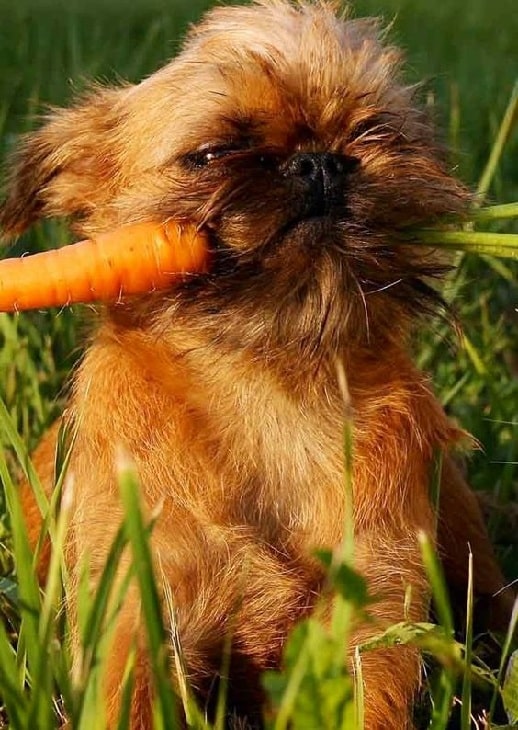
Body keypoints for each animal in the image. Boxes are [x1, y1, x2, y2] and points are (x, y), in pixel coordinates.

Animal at [0, 1, 512, 728]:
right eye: (212, 154)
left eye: (374, 130)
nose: (319, 163)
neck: (270, 386)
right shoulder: (137, 609)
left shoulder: (374, 608)